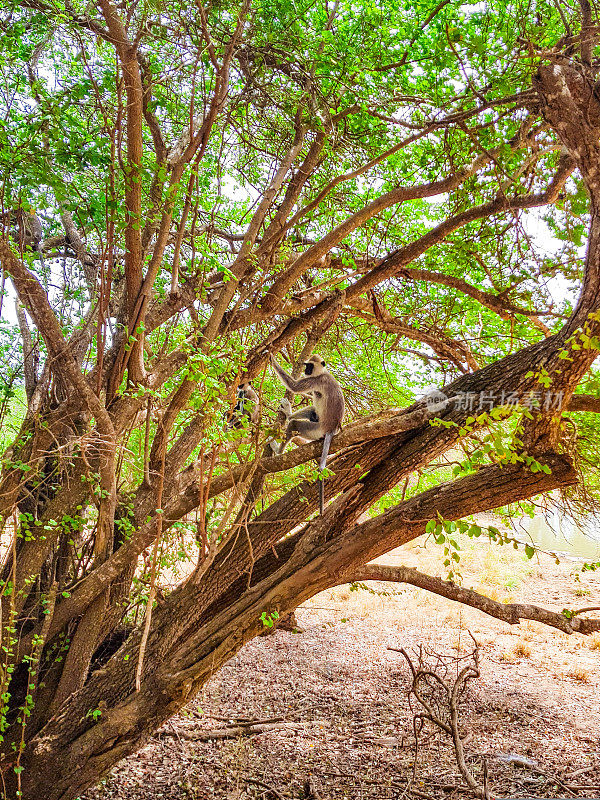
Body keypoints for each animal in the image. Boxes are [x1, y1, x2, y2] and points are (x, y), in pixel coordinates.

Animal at [270, 354, 344, 516]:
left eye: (309, 366)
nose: (306, 371)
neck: (322, 373)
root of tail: (331, 429)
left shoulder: (316, 380)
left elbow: (294, 386)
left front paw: (270, 357)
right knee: (311, 410)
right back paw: (290, 414)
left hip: (316, 430)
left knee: (294, 424)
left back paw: (279, 450)